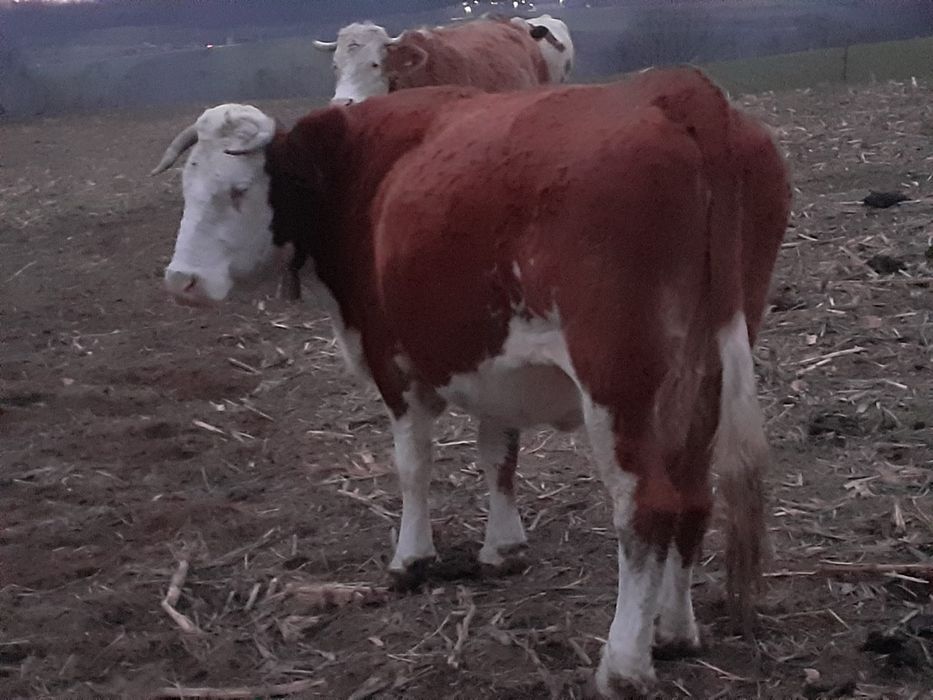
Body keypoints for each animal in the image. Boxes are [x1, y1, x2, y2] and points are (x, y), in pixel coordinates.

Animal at [150, 67, 791, 696]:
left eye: (237, 191)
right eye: (187, 187)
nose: (181, 281)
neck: (359, 169)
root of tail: (678, 89)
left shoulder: (393, 364)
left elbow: (413, 467)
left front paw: (411, 560)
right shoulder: (494, 371)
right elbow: (497, 456)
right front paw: (502, 548)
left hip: (618, 382)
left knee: (648, 508)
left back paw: (624, 666)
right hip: (703, 376)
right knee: (693, 494)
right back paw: (674, 632)